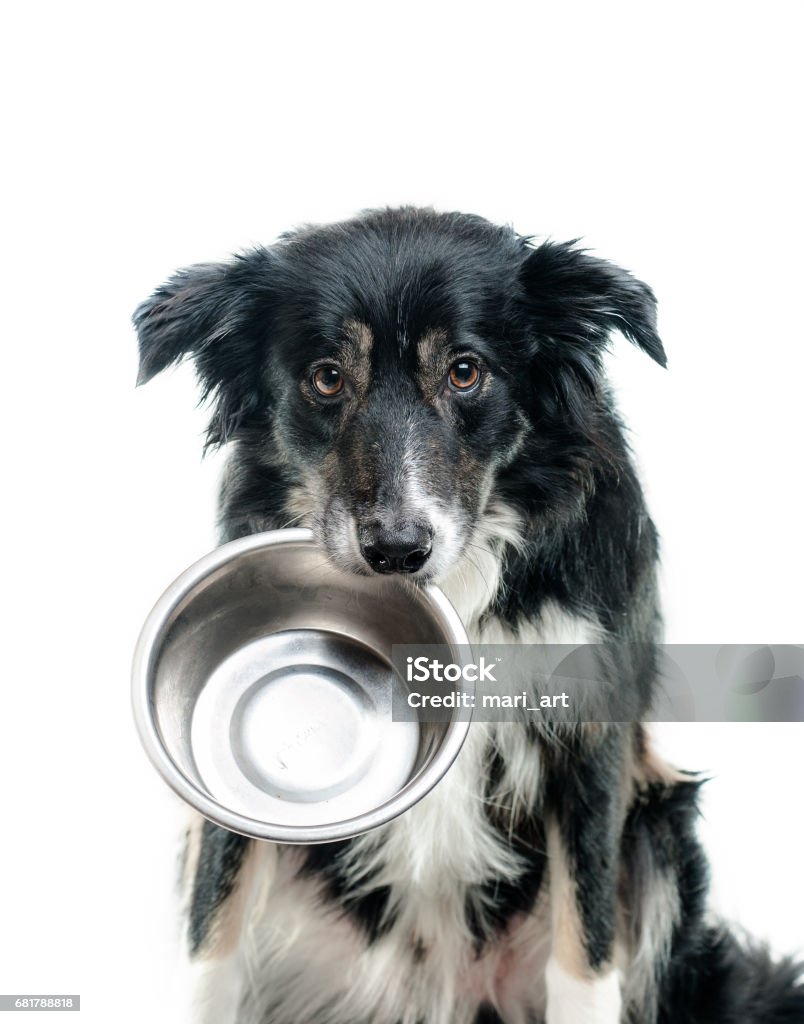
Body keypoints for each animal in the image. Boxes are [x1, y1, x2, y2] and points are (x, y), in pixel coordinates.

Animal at [133, 207, 802, 1024]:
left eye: (464, 371)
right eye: (327, 378)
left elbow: (586, 946)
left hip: (660, 830)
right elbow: (213, 930)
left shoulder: (591, 731)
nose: (396, 550)